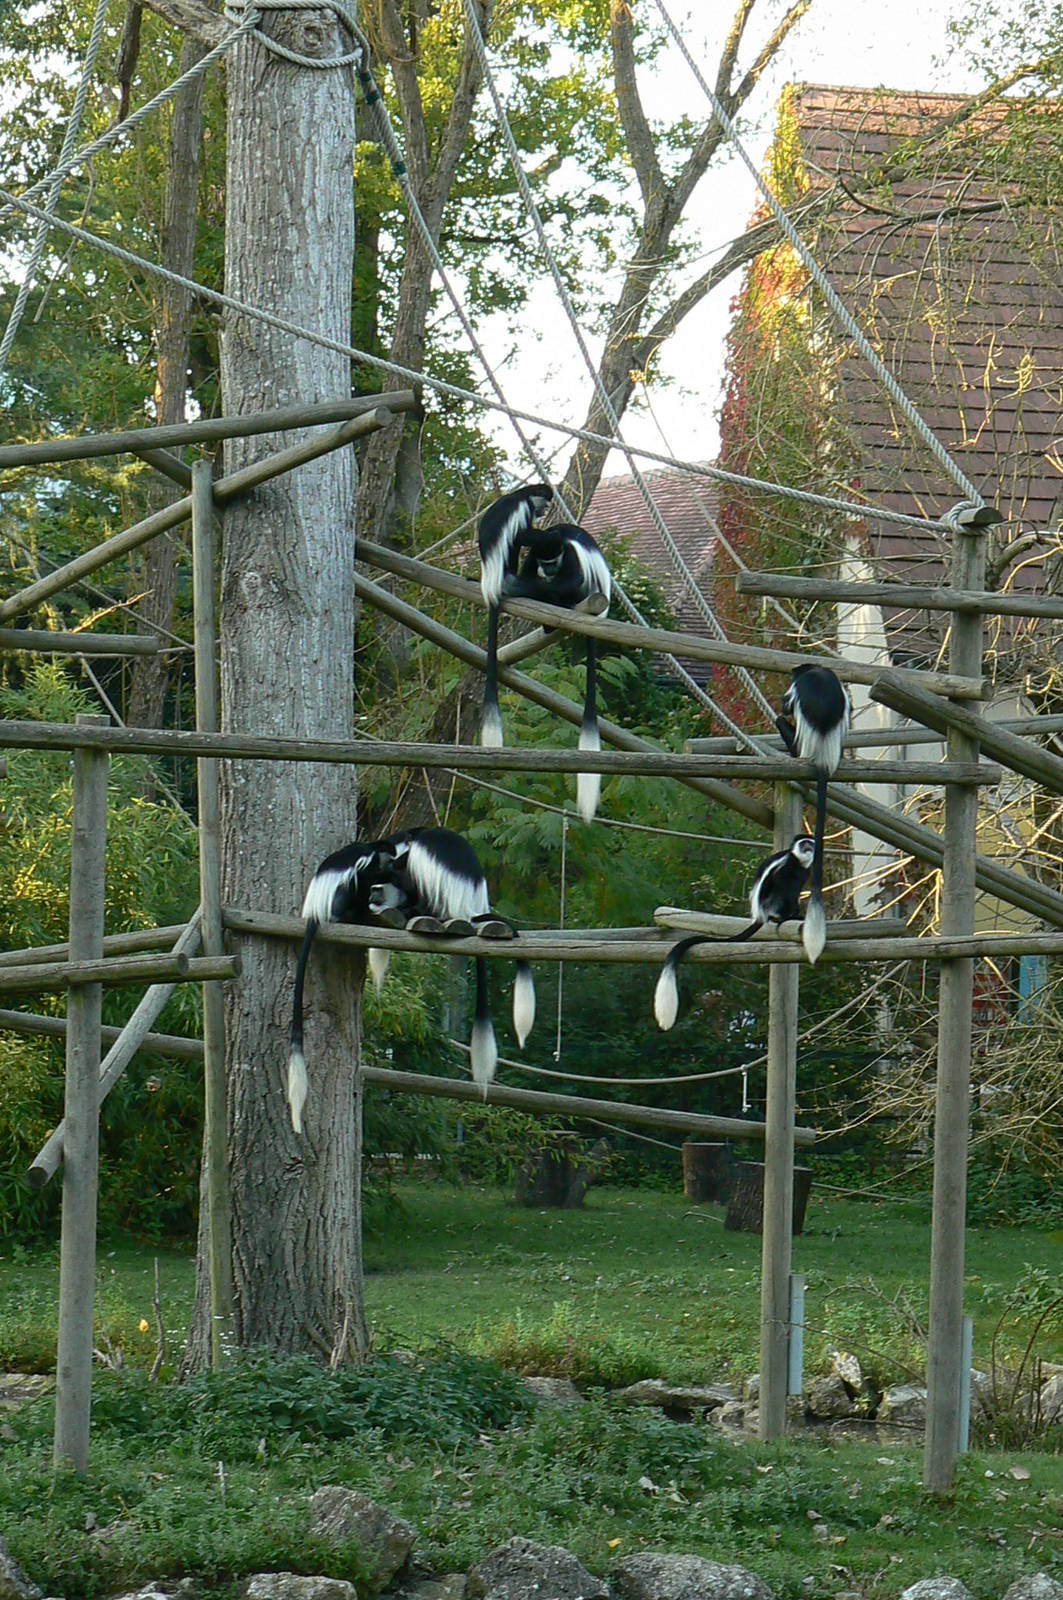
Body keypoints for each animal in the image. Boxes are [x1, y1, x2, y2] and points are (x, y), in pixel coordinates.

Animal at [653, 835, 816, 1031]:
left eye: (810, 843)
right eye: (803, 843)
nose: (808, 847)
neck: (798, 860)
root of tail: (760, 915)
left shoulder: (805, 871)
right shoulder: (787, 864)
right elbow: (783, 883)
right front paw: (793, 914)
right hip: (771, 900)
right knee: (784, 887)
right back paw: (782, 917)